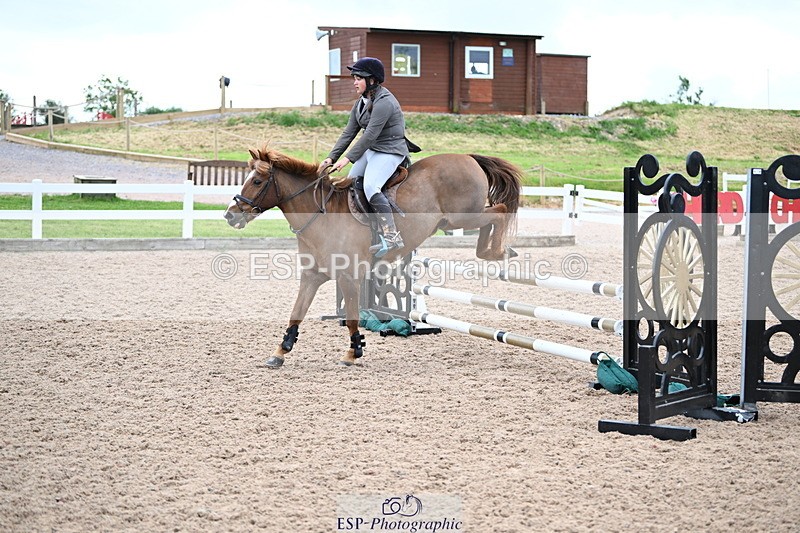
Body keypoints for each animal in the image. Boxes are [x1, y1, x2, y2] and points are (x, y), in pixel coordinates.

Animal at [224, 146, 522, 367]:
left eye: (257, 181)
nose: (230, 215)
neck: (320, 216)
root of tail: (467, 157)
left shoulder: (348, 277)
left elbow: (352, 317)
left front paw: (353, 352)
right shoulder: (312, 276)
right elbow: (296, 314)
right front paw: (280, 351)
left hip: (463, 216)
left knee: (499, 210)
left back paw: (498, 251)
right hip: (455, 219)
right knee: (492, 217)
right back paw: (495, 250)